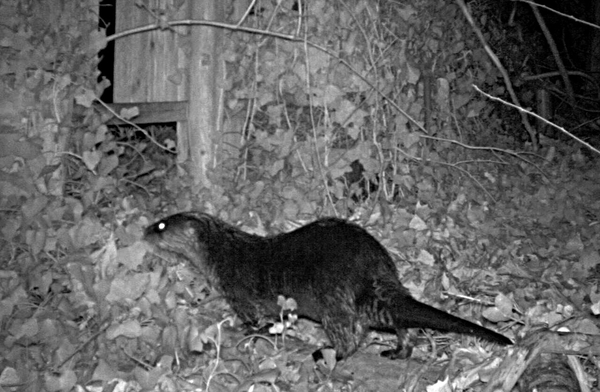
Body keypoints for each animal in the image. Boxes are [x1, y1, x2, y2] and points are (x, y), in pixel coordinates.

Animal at [144, 211, 510, 358]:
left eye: (161, 226)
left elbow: (255, 319)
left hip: (331, 299)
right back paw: (395, 352)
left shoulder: (239, 294)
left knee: (352, 335)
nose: (144, 230)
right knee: (402, 327)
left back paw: (326, 352)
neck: (225, 254)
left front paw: (246, 331)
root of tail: (373, 265)